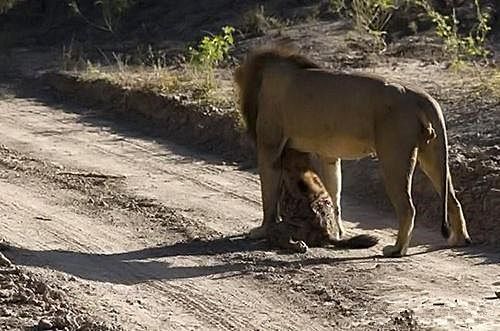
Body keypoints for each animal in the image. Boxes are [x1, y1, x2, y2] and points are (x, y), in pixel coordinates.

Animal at [234, 45, 468, 258]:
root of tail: (422, 96)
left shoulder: (269, 147)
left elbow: (268, 195)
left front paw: (262, 230)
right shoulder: (328, 156)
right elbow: (334, 194)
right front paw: (338, 232)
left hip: (394, 158)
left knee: (408, 208)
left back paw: (396, 250)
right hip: (432, 155)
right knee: (452, 199)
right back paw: (459, 240)